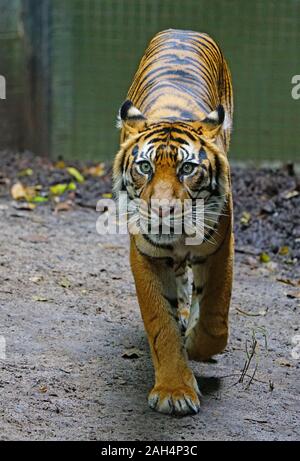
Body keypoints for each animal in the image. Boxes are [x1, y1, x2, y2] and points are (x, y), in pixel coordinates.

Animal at [113, 29, 233, 416]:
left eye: (187, 168)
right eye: (145, 166)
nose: (163, 210)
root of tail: (183, 29)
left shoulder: (220, 245)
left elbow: (215, 313)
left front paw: (196, 343)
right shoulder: (146, 254)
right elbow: (160, 324)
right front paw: (174, 391)